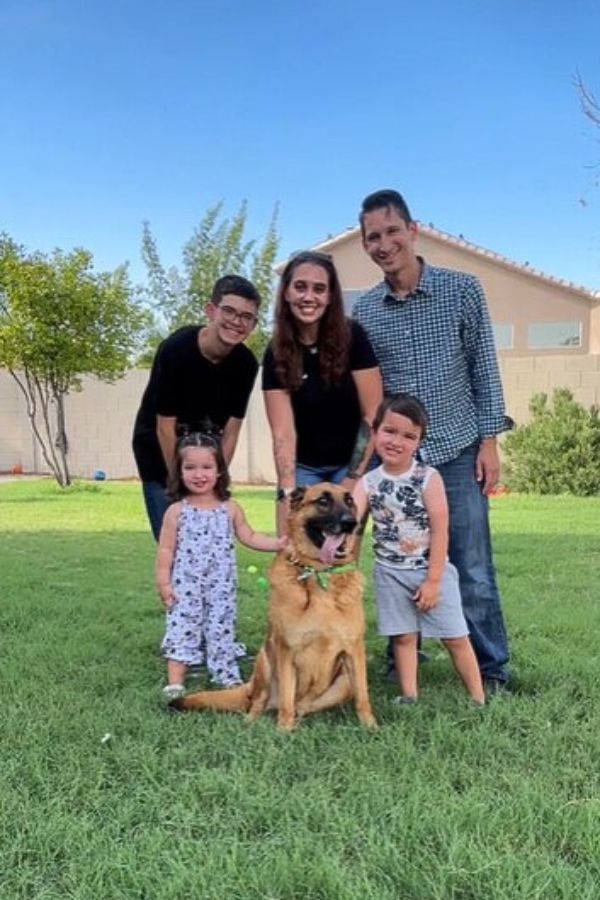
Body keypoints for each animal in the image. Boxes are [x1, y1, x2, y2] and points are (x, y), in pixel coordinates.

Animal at [171, 486, 376, 732]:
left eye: (349, 501)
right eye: (323, 501)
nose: (351, 523)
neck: (318, 575)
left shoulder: (354, 651)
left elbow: (363, 696)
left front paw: (371, 726)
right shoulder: (286, 649)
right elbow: (286, 699)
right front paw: (283, 731)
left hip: (343, 681)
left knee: (302, 706)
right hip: (265, 661)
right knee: (259, 702)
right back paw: (252, 721)